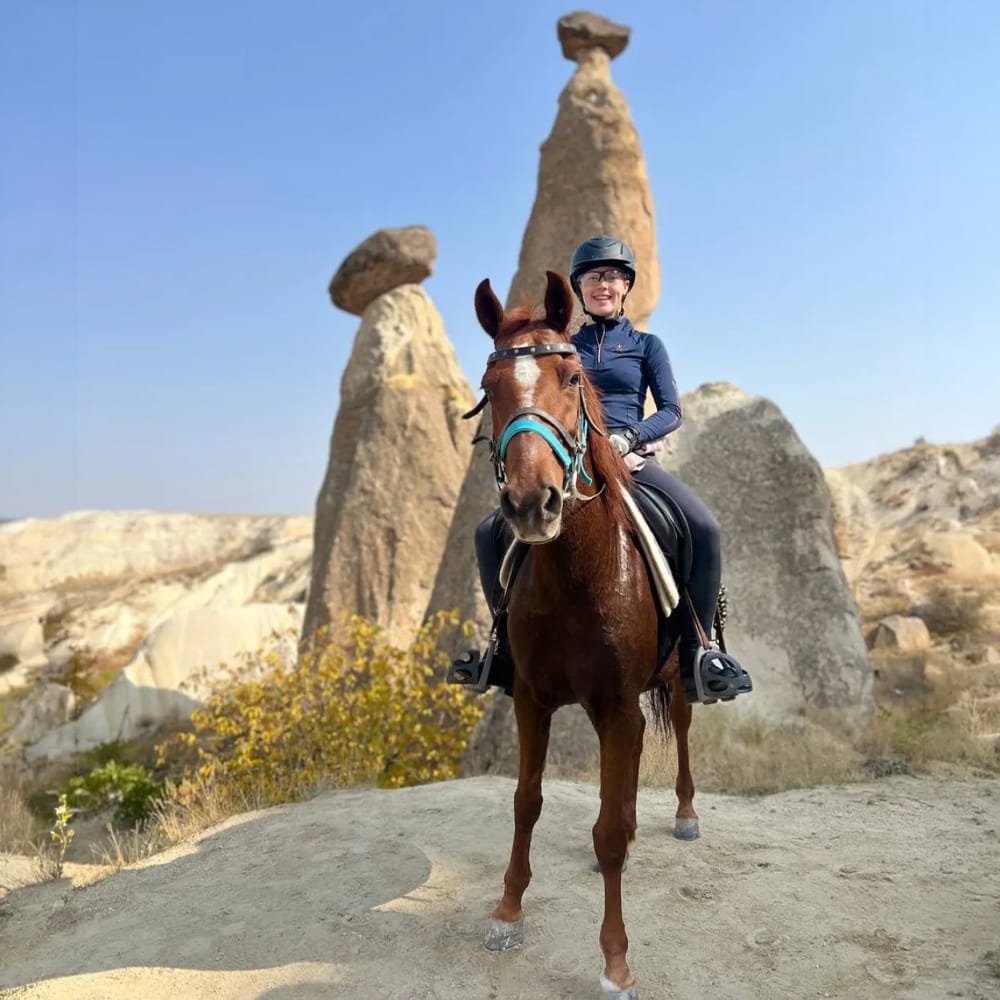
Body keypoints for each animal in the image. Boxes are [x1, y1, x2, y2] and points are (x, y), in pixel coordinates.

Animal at [468, 270, 698, 999]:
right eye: (489, 388)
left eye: (571, 378)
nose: (530, 502)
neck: (576, 574)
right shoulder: (534, 700)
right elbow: (527, 801)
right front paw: (506, 910)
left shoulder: (619, 704)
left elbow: (607, 833)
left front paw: (616, 962)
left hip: (677, 680)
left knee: (682, 733)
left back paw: (685, 815)